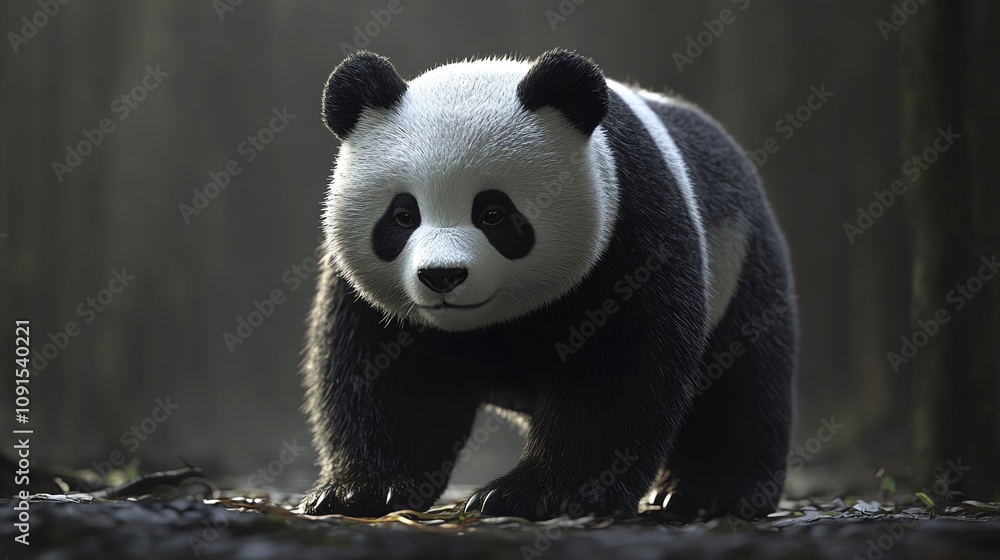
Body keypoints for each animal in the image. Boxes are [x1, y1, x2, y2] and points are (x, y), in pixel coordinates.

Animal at [299, 49, 797, 521]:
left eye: (494, 214)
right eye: (403, 216)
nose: (442, 275)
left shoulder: (629, 227)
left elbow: (616, 371)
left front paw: (532, 495)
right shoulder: (369, 296)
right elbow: (387, 375)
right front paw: (360, 491)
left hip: (739, 256)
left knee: (743, 376)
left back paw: (712, 493)